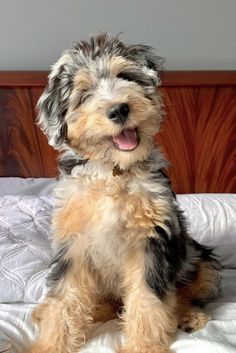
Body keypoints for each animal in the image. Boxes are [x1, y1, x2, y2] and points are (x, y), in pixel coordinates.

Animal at [25, 33, 221, 352]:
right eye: (84, 94)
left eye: (126, 76)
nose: (119, 109)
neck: (113, 171)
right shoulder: (73, 244)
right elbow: (64, 300)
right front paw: (49, 345)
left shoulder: (151, 241)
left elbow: (148, 302)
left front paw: (143, 346)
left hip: (201, 261)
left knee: (181, 294)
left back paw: (189, 316)